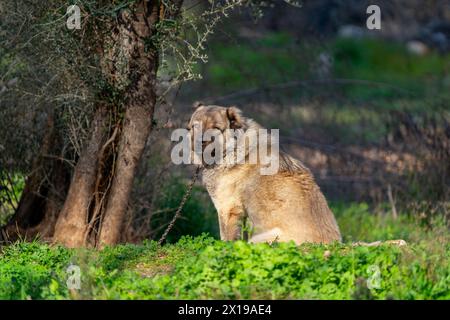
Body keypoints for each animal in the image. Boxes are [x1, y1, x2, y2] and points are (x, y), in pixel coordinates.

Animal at [187, 104, 342, 244]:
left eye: (216, 128)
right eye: (195, 126)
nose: (199, 142)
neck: (234, 151)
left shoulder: (227, 209)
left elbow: (227, 240)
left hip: (259, 239)